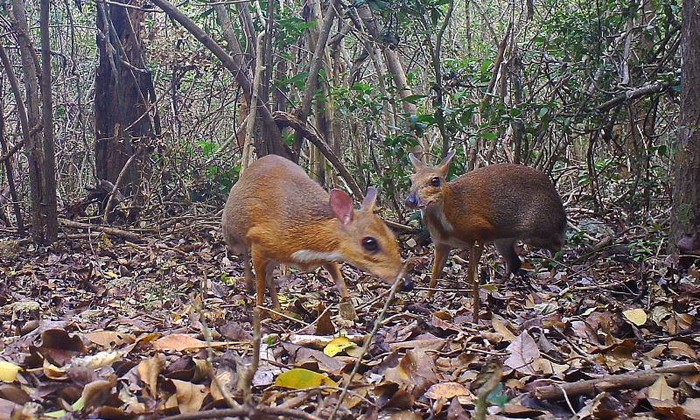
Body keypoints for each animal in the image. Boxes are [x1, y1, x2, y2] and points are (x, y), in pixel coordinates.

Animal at [221, 155, 402, 318]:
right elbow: (260, 285)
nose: (406, 282)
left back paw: (278, 309)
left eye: (392, 236)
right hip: (232, 235)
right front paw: (258, 311)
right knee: (246, 256)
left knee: (269, 275)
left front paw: (351, 313)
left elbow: (341, 282)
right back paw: (250, 285)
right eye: (370, 243)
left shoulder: (328, 255)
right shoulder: (259, 240)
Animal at [408, 151, 568, 322]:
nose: (410, 200)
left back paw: (554, 274)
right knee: (515, 262)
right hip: (503, 240)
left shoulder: (479, 234)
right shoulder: (441, 244)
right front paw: (426, 299)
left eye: (435, 180)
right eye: (411, 180)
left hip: (537, 231)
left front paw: (471, 300)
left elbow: (471, 274)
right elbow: (434, 276)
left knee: (559, 246)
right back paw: (500, 285)